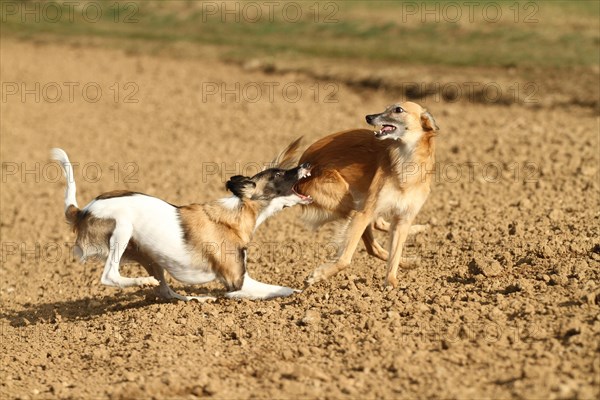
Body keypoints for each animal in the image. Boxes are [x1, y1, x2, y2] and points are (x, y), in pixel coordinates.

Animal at [52, 147, 314, 300]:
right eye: (277, 174)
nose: (307, 165)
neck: (236, 215)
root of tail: (81, 211)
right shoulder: (237, 282)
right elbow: (278, 289)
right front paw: (299, 293)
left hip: (150, 257)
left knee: (166, 291)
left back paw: (193, 299)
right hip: (123, 228)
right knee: (110, 275)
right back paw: (144, 282)